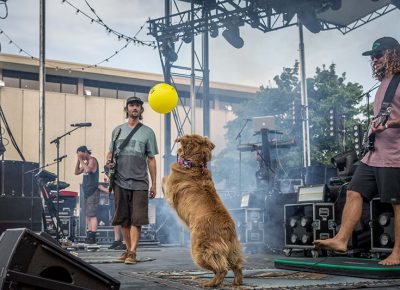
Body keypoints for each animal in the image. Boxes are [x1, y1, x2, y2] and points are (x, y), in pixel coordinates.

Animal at [162, 134, 244, 288]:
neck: (194, 164)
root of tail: (227, 228)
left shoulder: (169, 191)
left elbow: (164, 180)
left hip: (200, 251)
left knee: (221, 268)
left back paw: (209, 283)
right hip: (233, 250)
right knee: (236, 266)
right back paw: (236, 282)